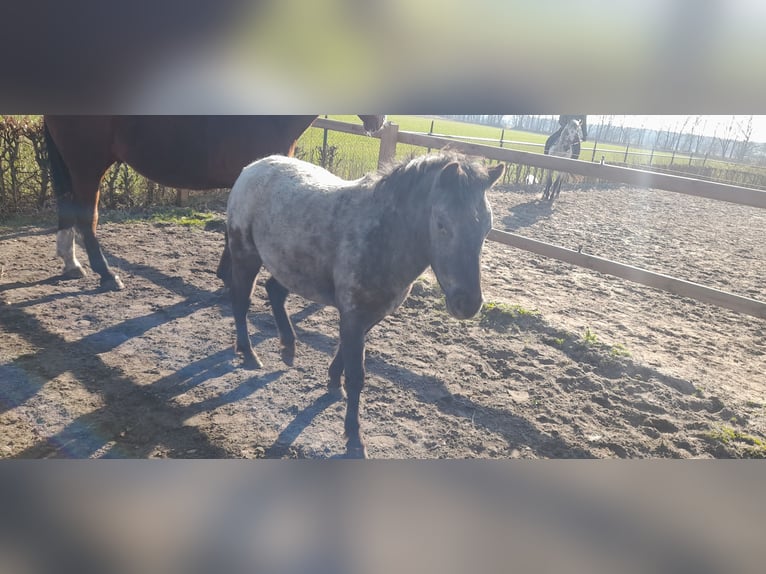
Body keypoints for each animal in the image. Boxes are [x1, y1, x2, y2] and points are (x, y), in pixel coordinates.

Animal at [45, 115, 388, 292]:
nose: (379, 121)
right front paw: (229, 276)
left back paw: (71, 264)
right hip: (88, 167)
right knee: (87, 218)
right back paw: (106, 274)